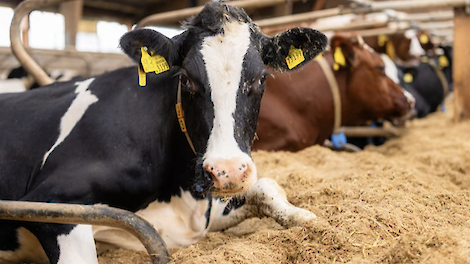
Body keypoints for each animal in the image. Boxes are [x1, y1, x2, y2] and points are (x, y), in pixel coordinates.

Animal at [0, 2, 326, 264]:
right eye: (187, 79)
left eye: (261, 78)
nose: (228, 172)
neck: (182, 196)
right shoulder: (51, 201)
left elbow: (266, 187)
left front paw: (305, 217)